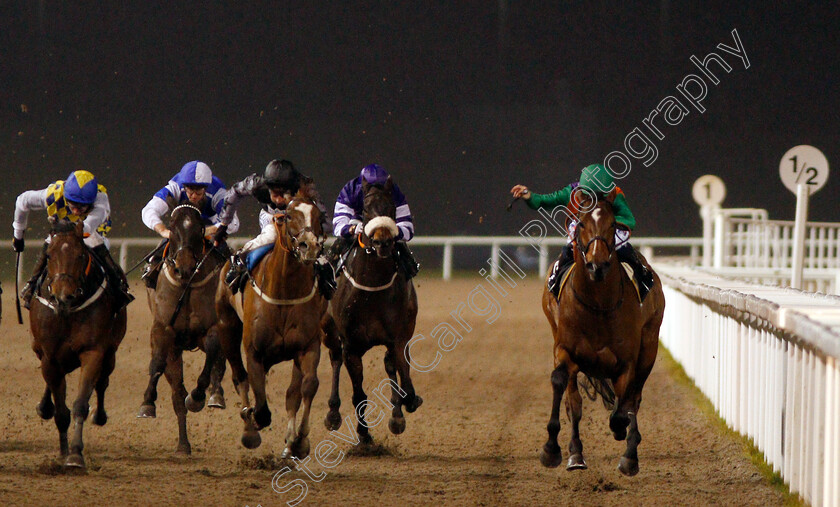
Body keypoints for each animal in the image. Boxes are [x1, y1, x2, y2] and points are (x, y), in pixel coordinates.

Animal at [29, 220, 126, 470]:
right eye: (49, 255)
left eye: (81, 255)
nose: (64, 295)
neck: (67, 312)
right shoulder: (50, 357)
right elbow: (61, 411)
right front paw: (63, 452)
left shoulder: (93, 352)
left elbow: (81, 403)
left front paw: (74, 454)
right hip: (40, 350)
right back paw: (44, 406)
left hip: (111, 353)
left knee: (102, 382)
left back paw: (99, 415)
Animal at [136, 204, 226, 454]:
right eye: (172, 226)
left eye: (200, 228)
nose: (184, 267)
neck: (187, 286)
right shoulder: (163, 330)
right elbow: (158, 364)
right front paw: (147, 403)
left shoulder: (212, 329)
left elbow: (212, 357)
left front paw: (199, 396)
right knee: (177, 393)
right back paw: (183, 444)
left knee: (219, 365)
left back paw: (215, 396)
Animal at [215, 185, 340, 458]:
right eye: (288, 216)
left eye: (318, 215)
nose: (309, 246)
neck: (284, 292)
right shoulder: (254, 351)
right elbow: (260, 403)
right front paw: (252, 420)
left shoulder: (307, 346)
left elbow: (307, 386)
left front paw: (299, 441)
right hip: (227, 328)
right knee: (239, 376)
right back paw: (249, 429)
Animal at [326, 178, 424, 444]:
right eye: (366, 210)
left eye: (391, 208)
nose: (382, 242)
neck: (371, 288)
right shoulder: (351, 345)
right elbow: (359, 394)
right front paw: (363, 434)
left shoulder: (398, 338)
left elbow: (404, 381)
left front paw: (401, 412)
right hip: (328, 331)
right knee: (335, 358)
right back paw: (333, 413)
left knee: (390, 366)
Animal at [540, 192, 668, 478]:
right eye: (582, 223)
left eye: (612, 225)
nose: (596, 265)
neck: (598, 305)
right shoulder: (564, 349)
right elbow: (562, 387)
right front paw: (553, 450)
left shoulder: (627, 361)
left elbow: (623, 408)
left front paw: (624, 439)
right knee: (575, 402)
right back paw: (576, 452)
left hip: (650, 346)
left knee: (634, 398)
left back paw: (630, 453)